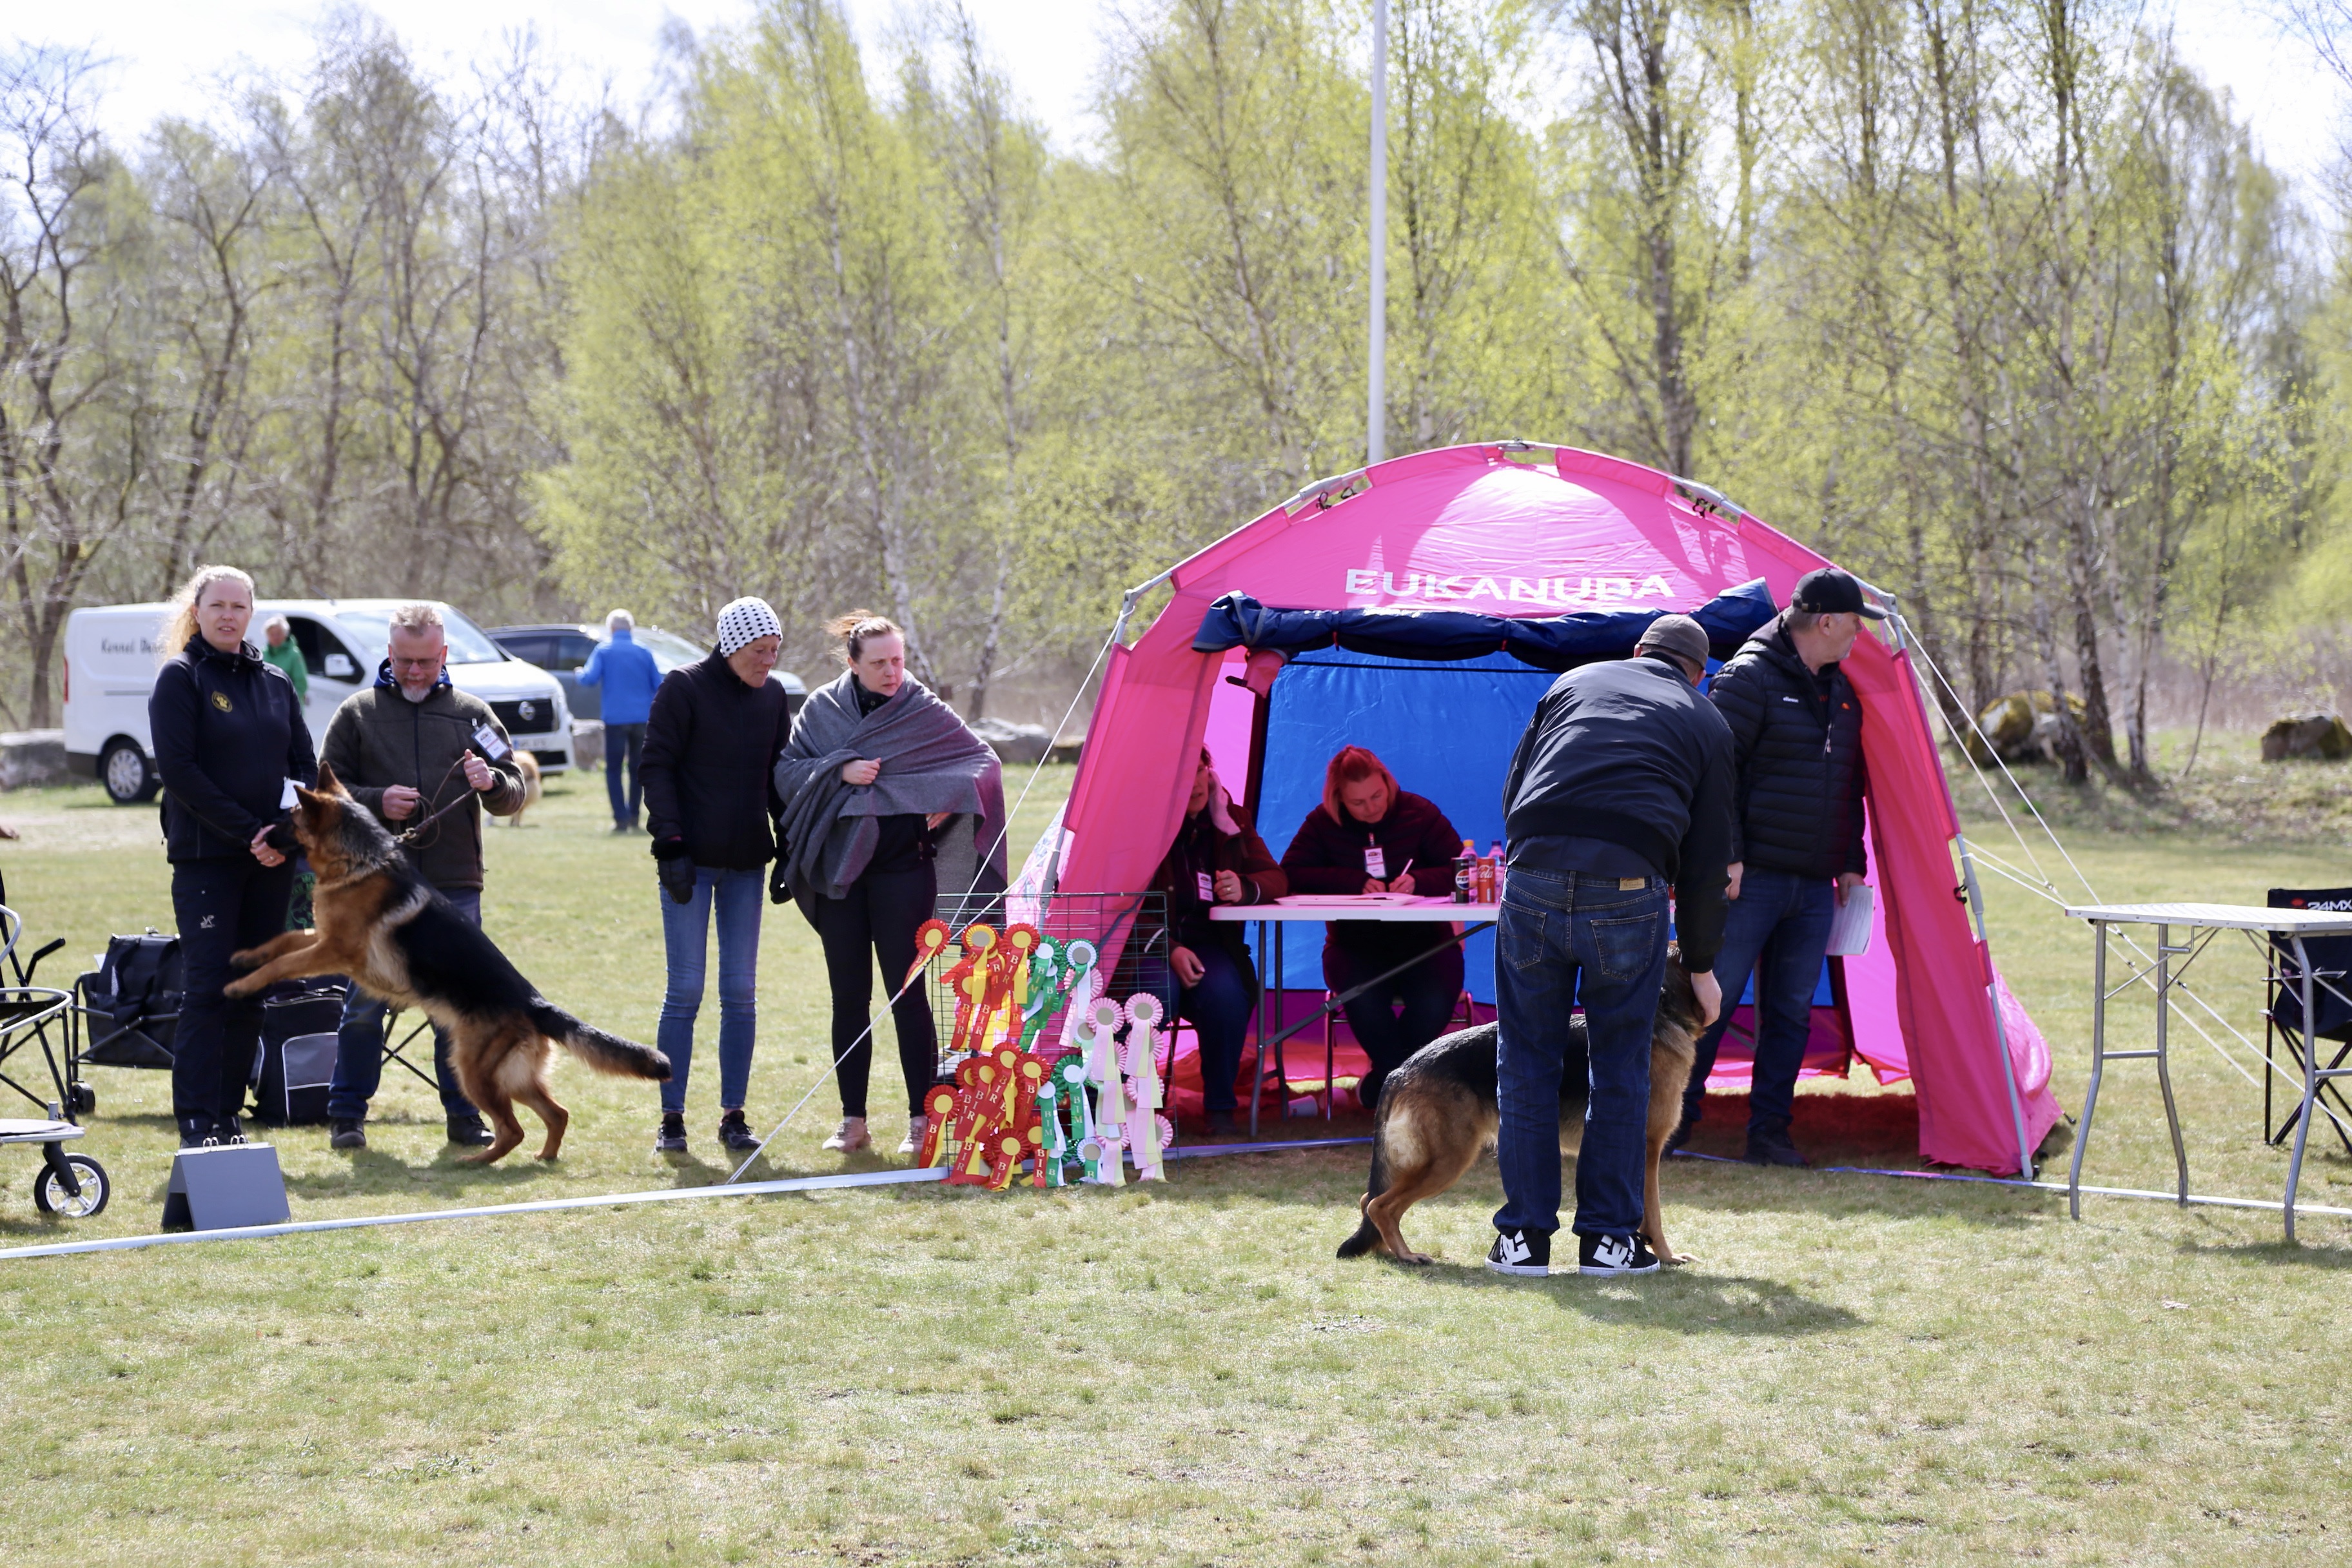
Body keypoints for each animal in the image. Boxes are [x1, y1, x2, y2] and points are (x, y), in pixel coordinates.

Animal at [224, 761, 670, 1163]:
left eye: (289, 819)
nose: (259, 839)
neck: (361, 860)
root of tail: (535, 1003)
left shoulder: (335, 949)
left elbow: (283, 964)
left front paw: (241, 985)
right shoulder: (323, 937)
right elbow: (283, 941)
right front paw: (245, 956)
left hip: (471, 1071)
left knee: (514, 1129)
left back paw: (474, 1160)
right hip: (511, 1078)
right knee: (557, 1114)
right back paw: (544, 1157)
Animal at [1336, 945, 1702, 1266]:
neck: (1661, 1016)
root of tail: (1400, 1070)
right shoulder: (1648, 1151)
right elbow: (1653, 1214)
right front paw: (1667, 1257)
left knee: (1368, 1200)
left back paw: (1386, 1250)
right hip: (1447, 1161)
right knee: (1380, 1206)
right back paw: (1406, 1255)